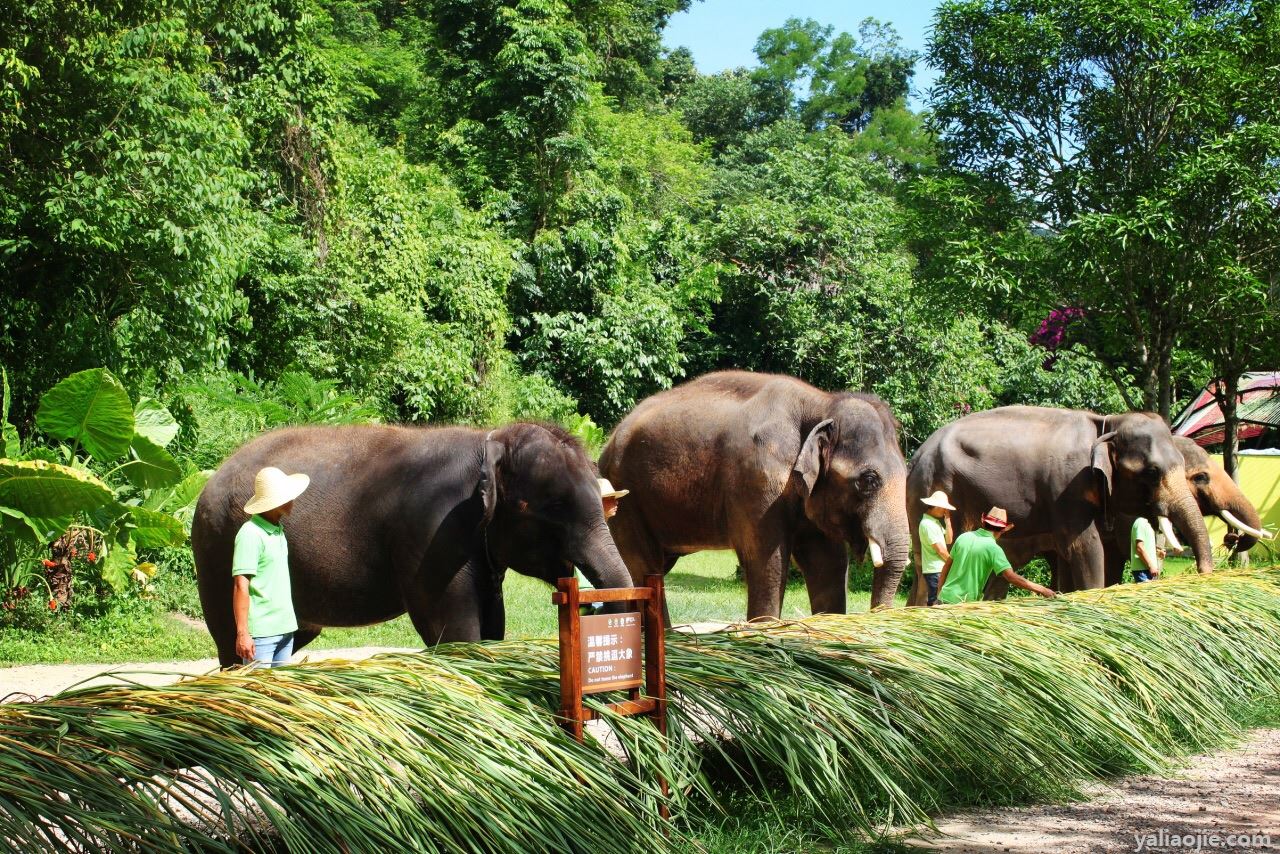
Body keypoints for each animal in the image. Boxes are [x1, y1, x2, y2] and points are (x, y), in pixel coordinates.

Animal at [192, 422, 632, 665]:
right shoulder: (433, 533)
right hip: (217, 551)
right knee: (233, 642)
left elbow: (494, 624)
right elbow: (452, 628)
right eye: (552, 508)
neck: (488, 441)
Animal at [599, 371, 911, 617]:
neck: (821, 404)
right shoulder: (757, 481)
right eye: (868, 480)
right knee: (646, 568)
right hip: (626, 496)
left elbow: (828, 564)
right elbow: (767, 561)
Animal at [906, 407, 1213, 606]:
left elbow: (1067, 555)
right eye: (1151, 472)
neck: (1107, 423)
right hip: (937, 485)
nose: (1205, 575)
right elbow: (1084, 546)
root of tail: (917, 455)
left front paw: (1064, 596)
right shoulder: (1067, 486)